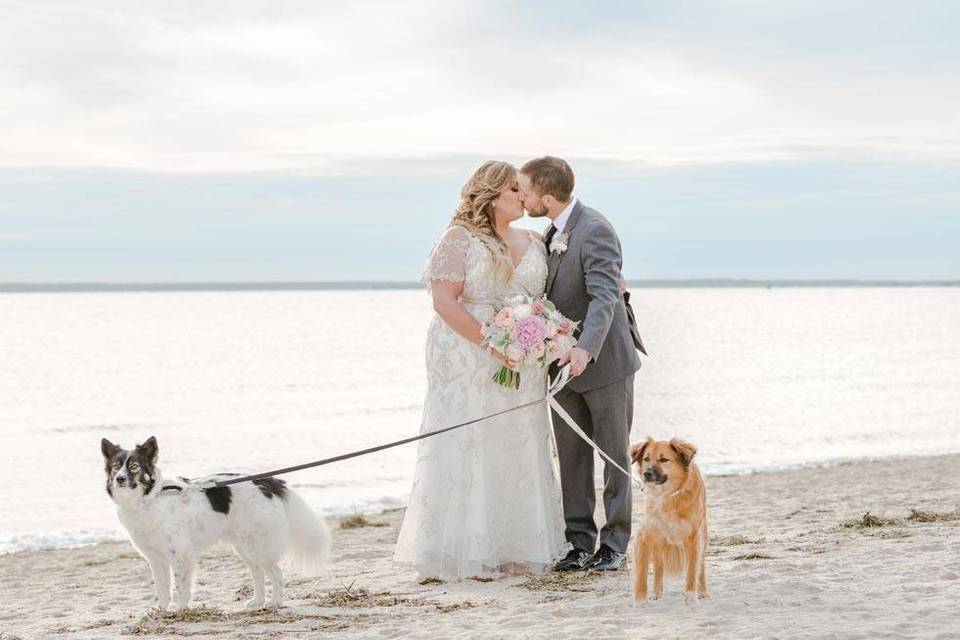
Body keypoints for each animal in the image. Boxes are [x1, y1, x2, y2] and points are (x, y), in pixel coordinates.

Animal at [99, 436, 328, 608]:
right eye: (116, 466)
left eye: (134, 466)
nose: (119, 479)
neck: (150, 498)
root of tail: (268, 481)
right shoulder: (155, 559)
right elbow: (162, 588)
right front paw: (161, 612)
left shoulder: (180, 554)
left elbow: (181, 586)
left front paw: (180, 610)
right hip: (245, 547)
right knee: (257, 573)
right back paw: (257, 601)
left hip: (259, 547)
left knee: (276, 573)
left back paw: (275, 603)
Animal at [632, 438, 704, 604]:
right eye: (646, 459)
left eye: (664, 459)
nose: (646, 474)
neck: (666, 495)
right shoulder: (645, 537)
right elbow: (641, 574)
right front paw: (640, 602)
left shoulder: (693, 539)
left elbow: (692, 571)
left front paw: (691, 598)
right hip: (659, 543)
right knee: (659, 567)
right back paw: (656, 592)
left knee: (701, 567)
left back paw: (704, 592)